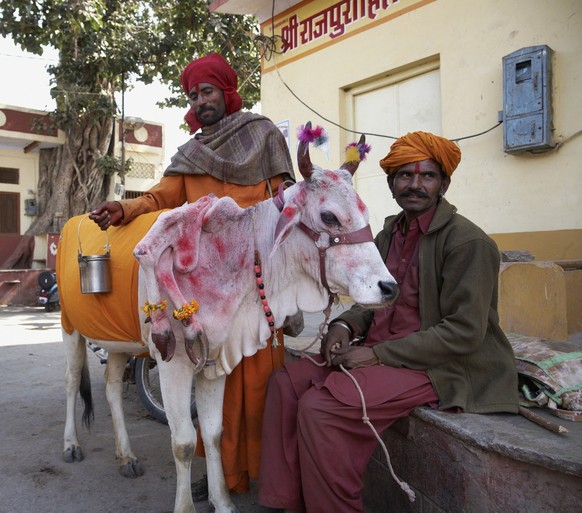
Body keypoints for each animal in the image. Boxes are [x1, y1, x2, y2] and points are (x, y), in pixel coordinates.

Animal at [57, 129, 400, 512]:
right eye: (329, 217)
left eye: (364, 211)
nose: (389, 287)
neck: (239, 256)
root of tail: (70, 223)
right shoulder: (173, 365)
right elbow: (184, 443)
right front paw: (186, 506)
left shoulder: (215, 360)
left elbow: (213, 434)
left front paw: (222, 500)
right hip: (69, 327)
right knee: (72, 381)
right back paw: (71, 445)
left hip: (120, 342)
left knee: (112, 385)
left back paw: (126, 456)